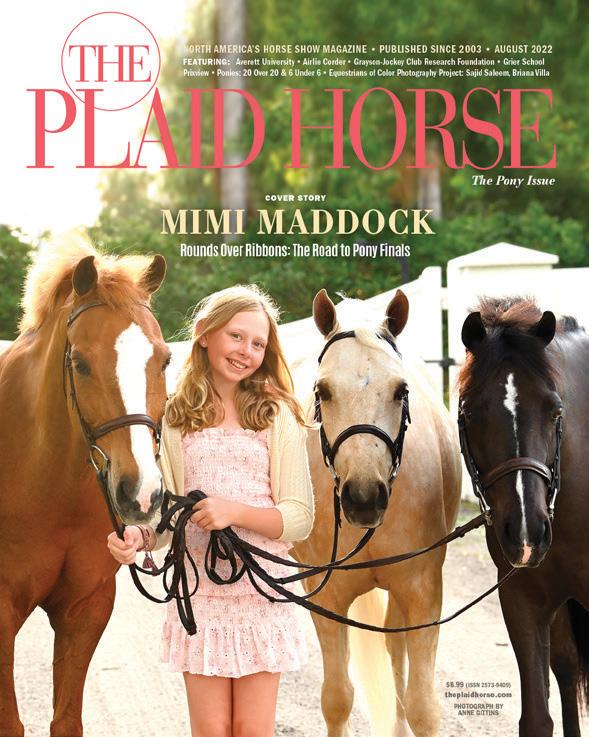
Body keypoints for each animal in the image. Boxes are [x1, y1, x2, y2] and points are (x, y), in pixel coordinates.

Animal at [292, 289, 462, 737]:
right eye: (323, 391)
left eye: (401, 390)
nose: (363, 497)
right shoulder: (326, 598)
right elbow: (336, 699)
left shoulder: (421, 592)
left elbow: (423, 706)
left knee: (392, 643)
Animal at [458, 297, 589, 737]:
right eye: (470, 413)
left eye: (555, 411)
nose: (527, 532)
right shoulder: (522, 598)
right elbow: (536, 717)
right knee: (567, 665)